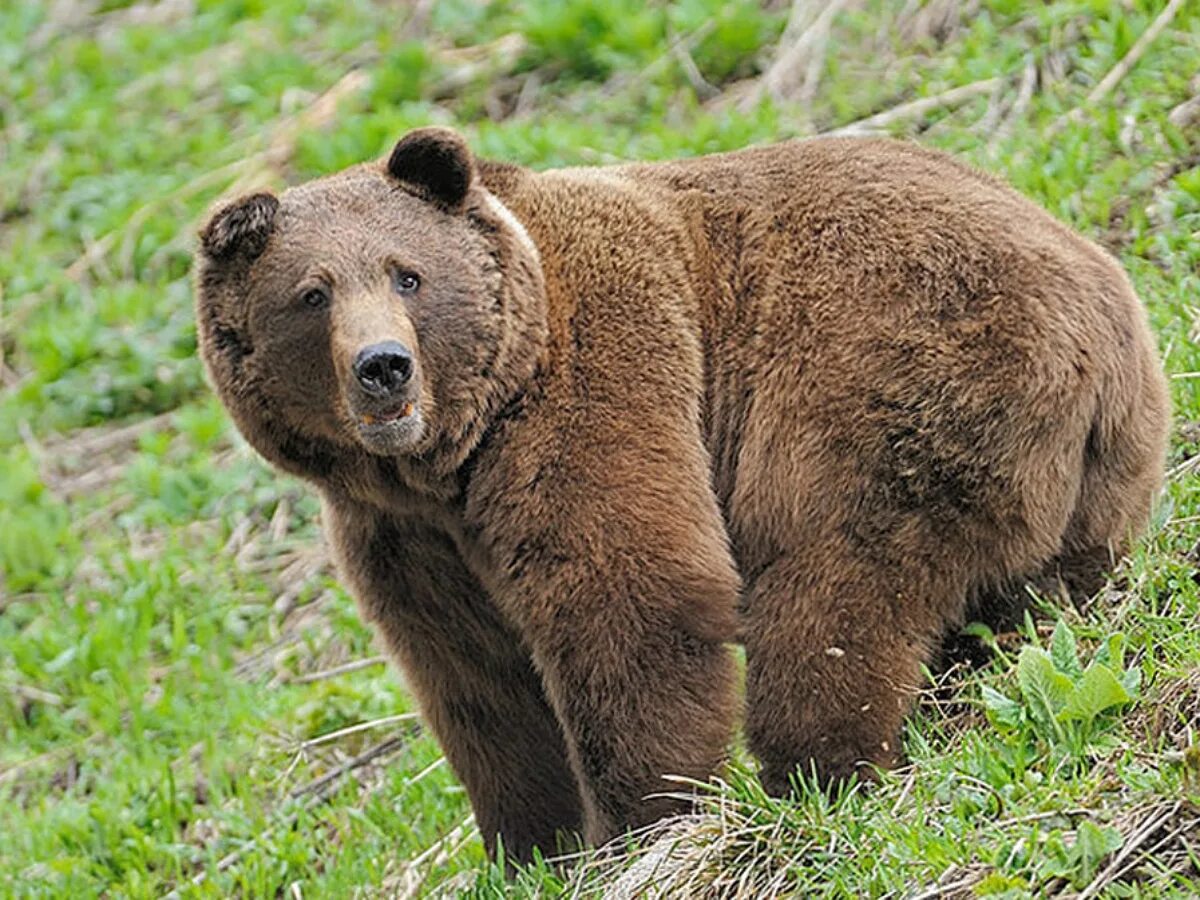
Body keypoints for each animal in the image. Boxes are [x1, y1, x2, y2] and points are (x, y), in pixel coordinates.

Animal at [192, 127, 1166, 868]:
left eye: (406, 274)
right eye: (311, 294)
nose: (384, 368)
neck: (451, 458)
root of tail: (1101, 318)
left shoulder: (595, 392)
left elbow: (633, 601)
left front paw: (646, 825)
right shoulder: (402, 539)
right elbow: (475, 680)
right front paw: (530, 849)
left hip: (886, 376)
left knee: (832, 588)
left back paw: (814, 775)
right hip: (1091, 485)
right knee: (1018, 606)